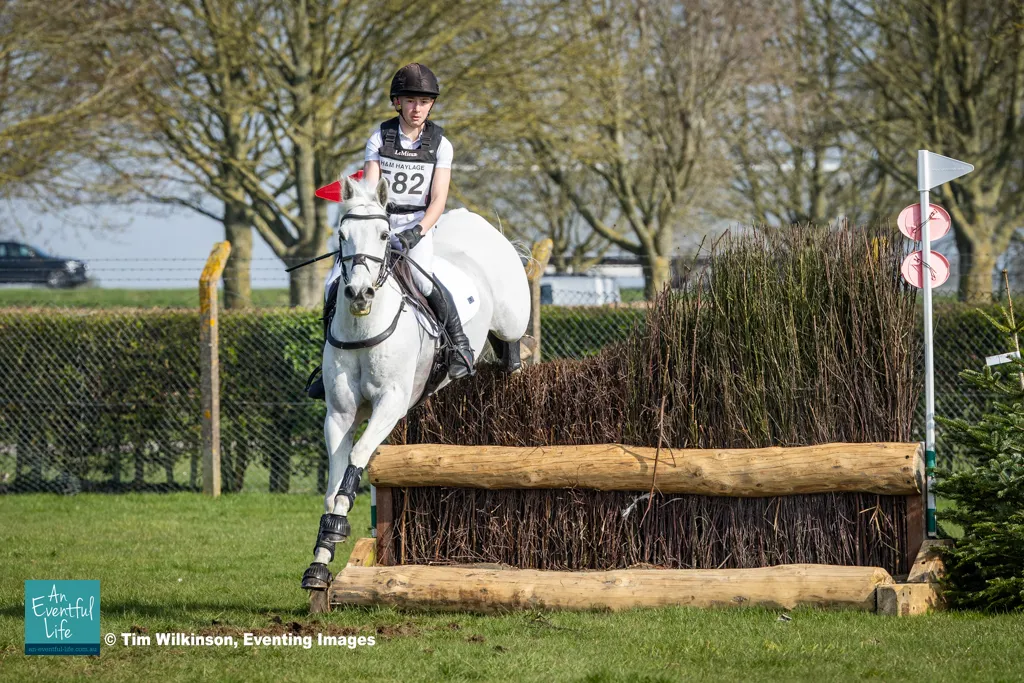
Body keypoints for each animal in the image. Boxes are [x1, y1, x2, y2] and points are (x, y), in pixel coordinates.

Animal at [301, 175, 531, 590]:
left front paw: (336, 529)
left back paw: (508, 365)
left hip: (512, 318)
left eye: (383, 234)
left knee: (510, 344)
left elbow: (358, 458)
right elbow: (334, 481)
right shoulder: (339, 414)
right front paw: (321, 559)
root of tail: (478, 223)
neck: (364, 327)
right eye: (341, 235)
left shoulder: (390, 404)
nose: (359, 294)